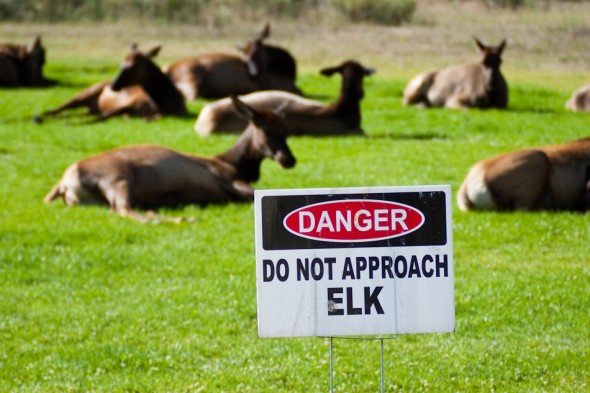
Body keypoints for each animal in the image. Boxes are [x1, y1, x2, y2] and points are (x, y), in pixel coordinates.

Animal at [34, 44, 187, 121]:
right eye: (121, 64)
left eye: (130, 66)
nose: (113, 85)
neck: (161, 103)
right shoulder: (128, 104)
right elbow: (102, 117)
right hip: (83, 94)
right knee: (55, 109)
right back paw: (35, 116)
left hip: (91, 108)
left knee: (73, 114)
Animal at [44, 95, 298, 222]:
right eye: (266, 130)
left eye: (286, 130)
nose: (289, 160)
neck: (235, 163)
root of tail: (63, 184)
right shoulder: (229, 181)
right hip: (117, 178)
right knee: (122, 209)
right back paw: (177, 219)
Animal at [163, 23, 302, 100]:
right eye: (244, 57)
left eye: (255, 52)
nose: (254, 73)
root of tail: (168, 71)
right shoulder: (278, 86)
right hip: (193, 78)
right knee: (192, 96)